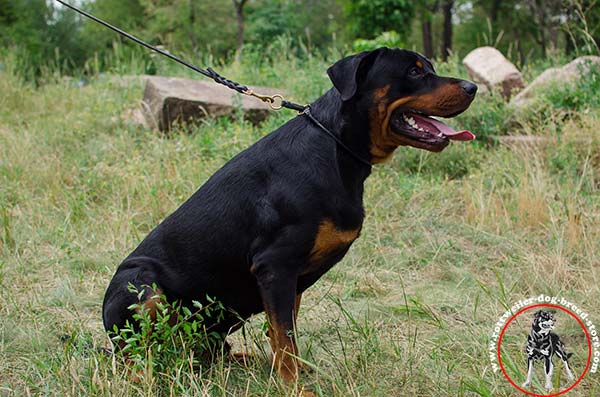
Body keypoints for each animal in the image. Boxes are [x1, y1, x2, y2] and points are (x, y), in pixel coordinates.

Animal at [104, 46, 478, 384]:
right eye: (414, 72)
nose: (472, 87)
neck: (337, 146)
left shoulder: (293, 278)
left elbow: (285, 334)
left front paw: (293, 372)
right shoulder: (275, 266)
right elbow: (283, 338)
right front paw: (294, 386)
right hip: (140, 285)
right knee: (134, 354)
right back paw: (144, 376)